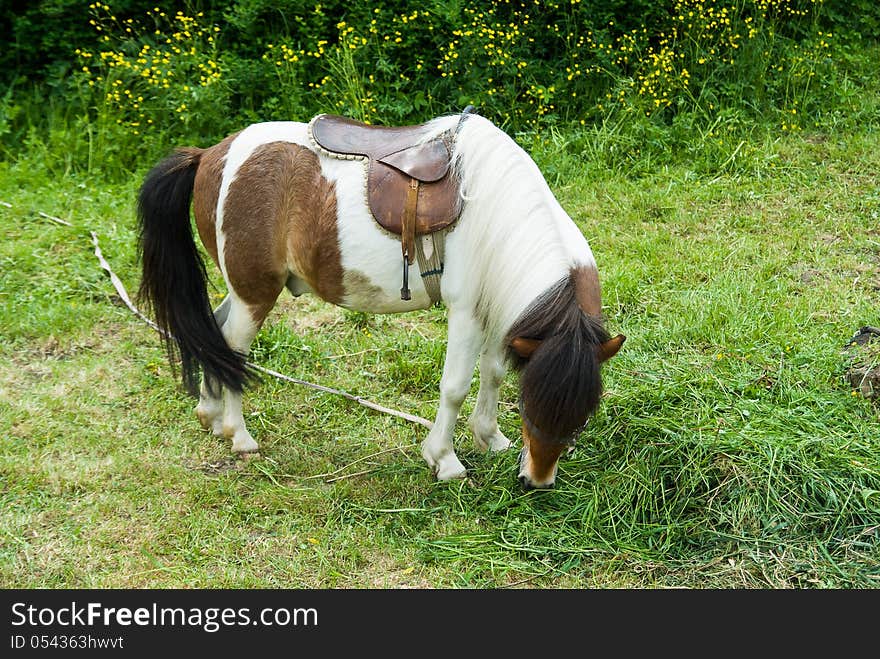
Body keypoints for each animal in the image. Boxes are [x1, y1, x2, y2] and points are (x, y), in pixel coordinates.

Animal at [136, 109, 624, 490]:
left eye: (583, 416)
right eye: (531, 406)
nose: (537, 481)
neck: (498, 215)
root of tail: (207, 156)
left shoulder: (495, 313)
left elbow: (494, 373)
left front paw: (492, 438)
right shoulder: (466, 313)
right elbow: (455, 388)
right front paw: (444, 459)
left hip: (241, 293)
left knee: (215, 337)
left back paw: (210, 414)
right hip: (255, 293)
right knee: (234, 349)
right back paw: (238, 435)